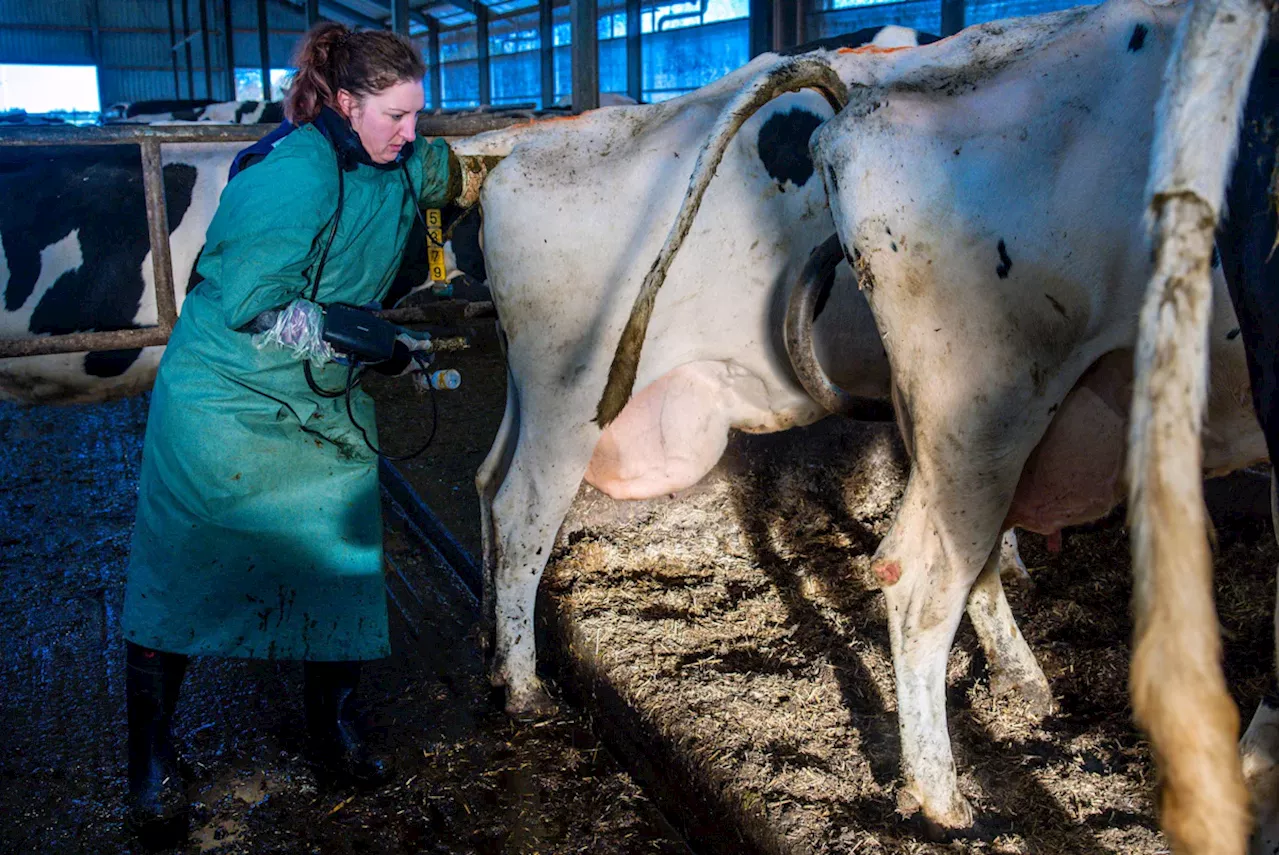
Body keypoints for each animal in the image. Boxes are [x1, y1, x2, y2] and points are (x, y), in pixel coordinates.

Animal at [450, 26, 1039, 716]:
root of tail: (531, 138)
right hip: (571, 396)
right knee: (520, 514)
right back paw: (522, 685)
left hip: (530, 393)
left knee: (488, 481)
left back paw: (490, 644)